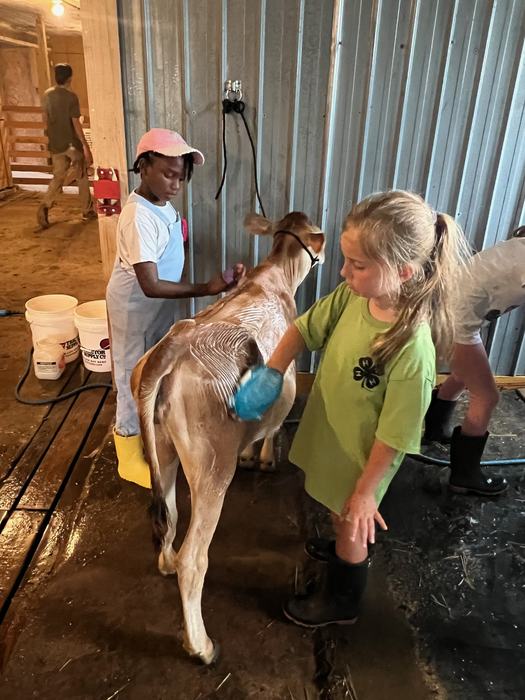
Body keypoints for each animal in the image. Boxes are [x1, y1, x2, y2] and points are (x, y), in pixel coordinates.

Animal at [131, 211, 325, 664]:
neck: (274, 276)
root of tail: (175, 343)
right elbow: (272, 425)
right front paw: (264, 457)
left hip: (163, 449)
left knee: (167, 516)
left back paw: (165, 562)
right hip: (212, 466)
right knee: (194, 559)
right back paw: (201, 646)